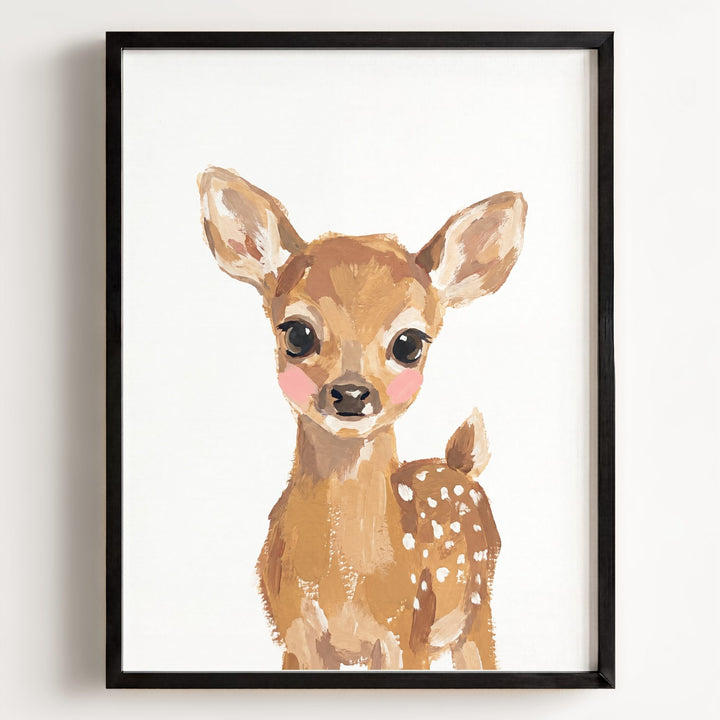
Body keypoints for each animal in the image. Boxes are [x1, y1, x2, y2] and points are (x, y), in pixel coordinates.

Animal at [198, 167, 527, 670]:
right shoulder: (294, 637)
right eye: (297, 333)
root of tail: (459, 466)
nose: (351, 393)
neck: (346, 582)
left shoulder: (407, 635)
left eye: (409, 342)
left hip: (477, 609)